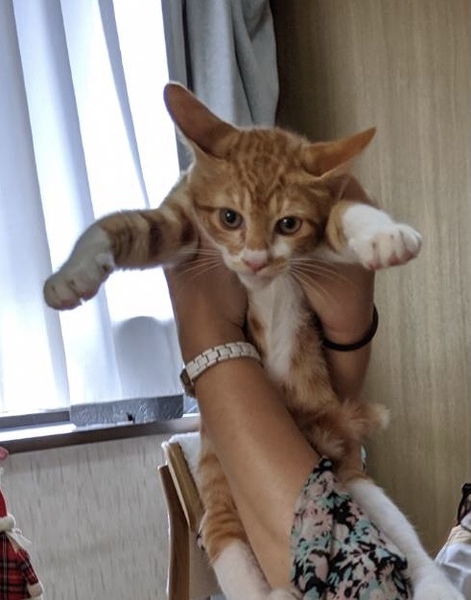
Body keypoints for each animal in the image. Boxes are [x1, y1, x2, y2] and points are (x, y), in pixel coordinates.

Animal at [44, 83, 463, 600]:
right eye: (230, 217)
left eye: (289, 224)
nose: (258, 260)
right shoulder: (183, 223)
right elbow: (127, 226)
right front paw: (70, 275)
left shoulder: (322, 229)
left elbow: (344, 213)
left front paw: (383, 234)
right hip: (222, 516)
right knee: (243, 567)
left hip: (353, 479)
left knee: (405, 549)